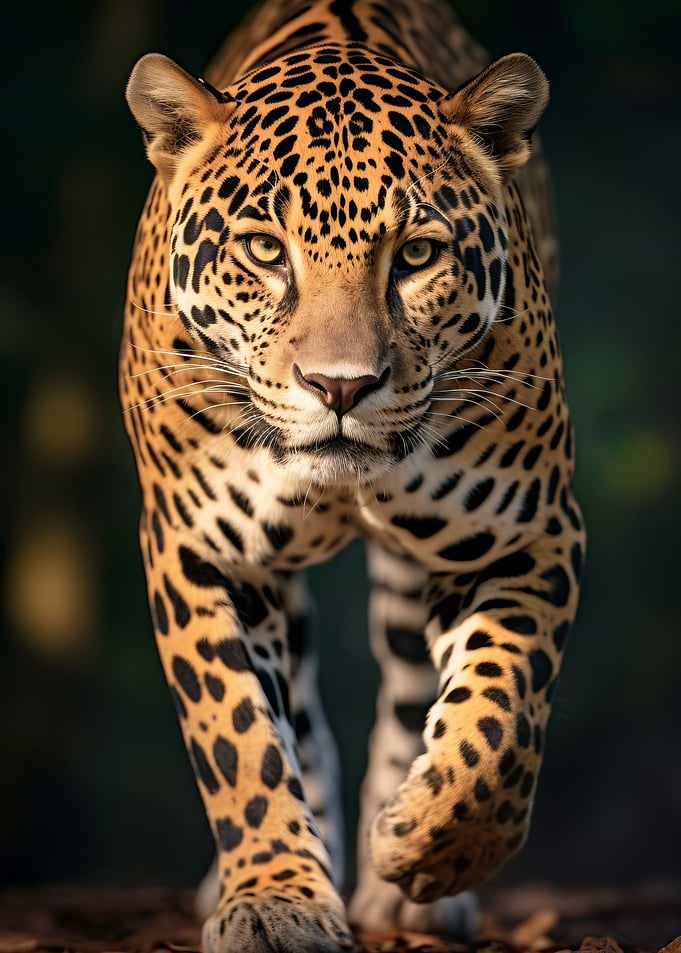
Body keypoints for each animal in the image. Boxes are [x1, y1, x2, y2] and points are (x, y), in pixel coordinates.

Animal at [120, 1, 585, 950]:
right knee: (296, 709)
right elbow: (240, 734)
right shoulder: (199, 550)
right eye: (265, 250)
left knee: (410, 685)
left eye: (415, 255)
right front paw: (273, 898)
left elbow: (501, 709)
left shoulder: (527, 533)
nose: (339, 386)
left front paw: (433, 843)